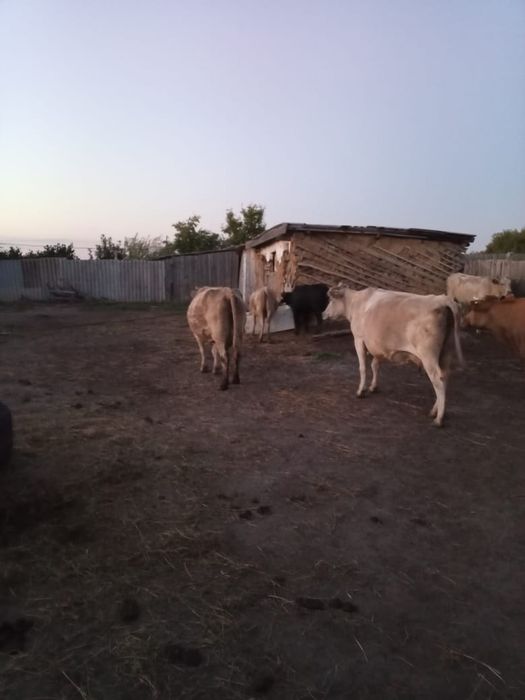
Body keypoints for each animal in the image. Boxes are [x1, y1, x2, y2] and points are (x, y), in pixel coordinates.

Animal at [323, 286, 464, 426]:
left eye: (331, 300)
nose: (323, 314)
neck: (356, 302)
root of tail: (441, 299)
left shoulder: (358, 339)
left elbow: (363, 368)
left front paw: (360, 391)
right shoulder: (377, 346)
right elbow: (375, 365)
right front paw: (373, 386)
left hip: (428, 356)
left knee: (438, 381)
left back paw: (439, 418)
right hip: (446, 353)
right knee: (444, 377)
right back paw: (434, 411)